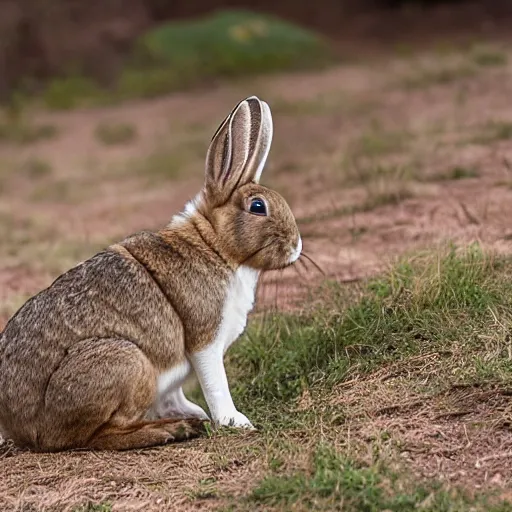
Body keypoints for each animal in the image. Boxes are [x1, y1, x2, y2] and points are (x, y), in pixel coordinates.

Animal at [0, 96, 304, 452]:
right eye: (258, 207)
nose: (297, 246)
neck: (214, 245)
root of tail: (23, 428)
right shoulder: (205, 341)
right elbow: (215, 384)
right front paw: (236, 422)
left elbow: (175, 394)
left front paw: (196, 412)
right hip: (126, 362)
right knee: (95, 436)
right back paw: (175, 430)